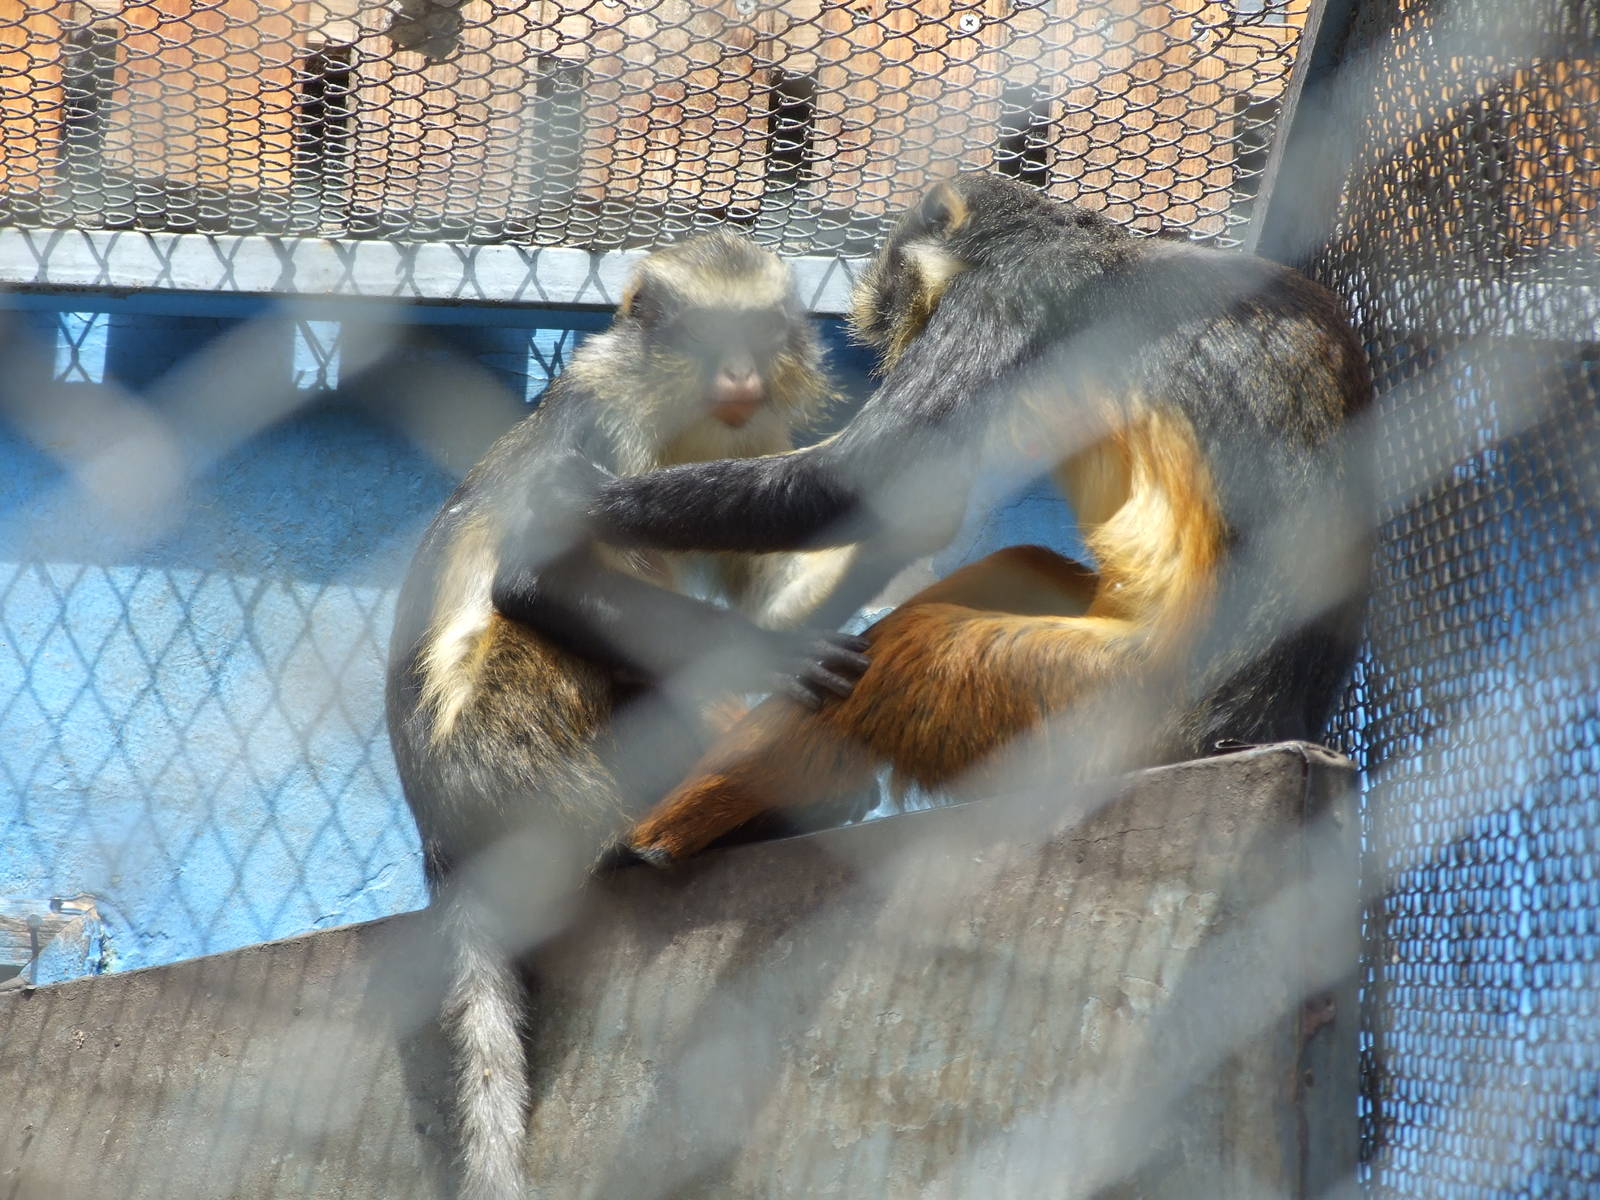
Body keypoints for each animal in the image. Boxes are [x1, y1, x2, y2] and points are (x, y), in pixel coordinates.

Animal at [384, 230, 870, 1200]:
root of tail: (446, 837)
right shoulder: (601, 434)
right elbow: (534, 586)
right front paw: (772, 661)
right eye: (702, 336)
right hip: (511, 752)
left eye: (760, 335)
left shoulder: (751, 438)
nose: (738, 374)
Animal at [531, 170, 1373, 863]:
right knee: (1011, 568)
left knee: (909, 647)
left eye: (899, 271)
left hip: (1096, 695)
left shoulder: (1000, 295)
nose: (882, 310)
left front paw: (579, 506)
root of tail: (1231, 731)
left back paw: (651, 843)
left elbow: (857, 481)